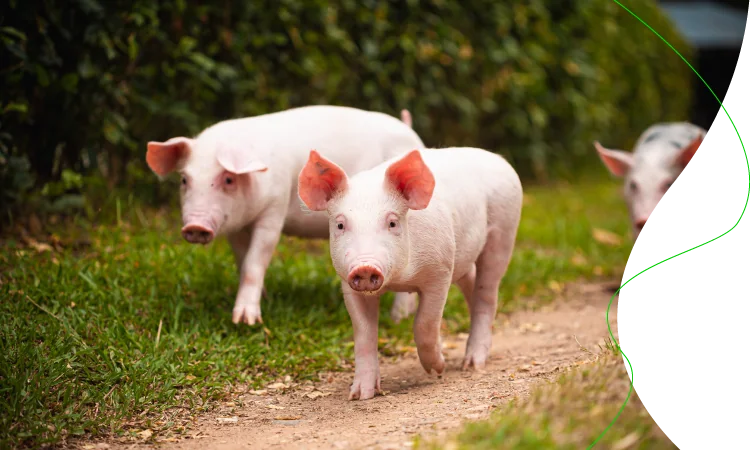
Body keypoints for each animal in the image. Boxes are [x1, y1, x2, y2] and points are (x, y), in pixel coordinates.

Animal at [145, 105, 424, 326]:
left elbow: (255, 262)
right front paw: (264, 300)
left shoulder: (273, 211)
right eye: (184, 179)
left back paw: (397, 319)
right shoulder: (237, 227)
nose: (195, 226)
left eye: (228, 179)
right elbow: (243, 262)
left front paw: (246, 322)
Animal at [297, 147, 523, 400]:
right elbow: (364, 333)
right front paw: (360, 395)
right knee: (473, 285)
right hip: (465, 257)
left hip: (503, 232)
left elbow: (424, 323)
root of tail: (498, 159)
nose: (365, 267)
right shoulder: (348, 283)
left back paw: (472, 365)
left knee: (488, 293)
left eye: (393, 223)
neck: (400, 280)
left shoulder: (441, 271)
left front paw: (438, 369)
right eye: (340, 225)